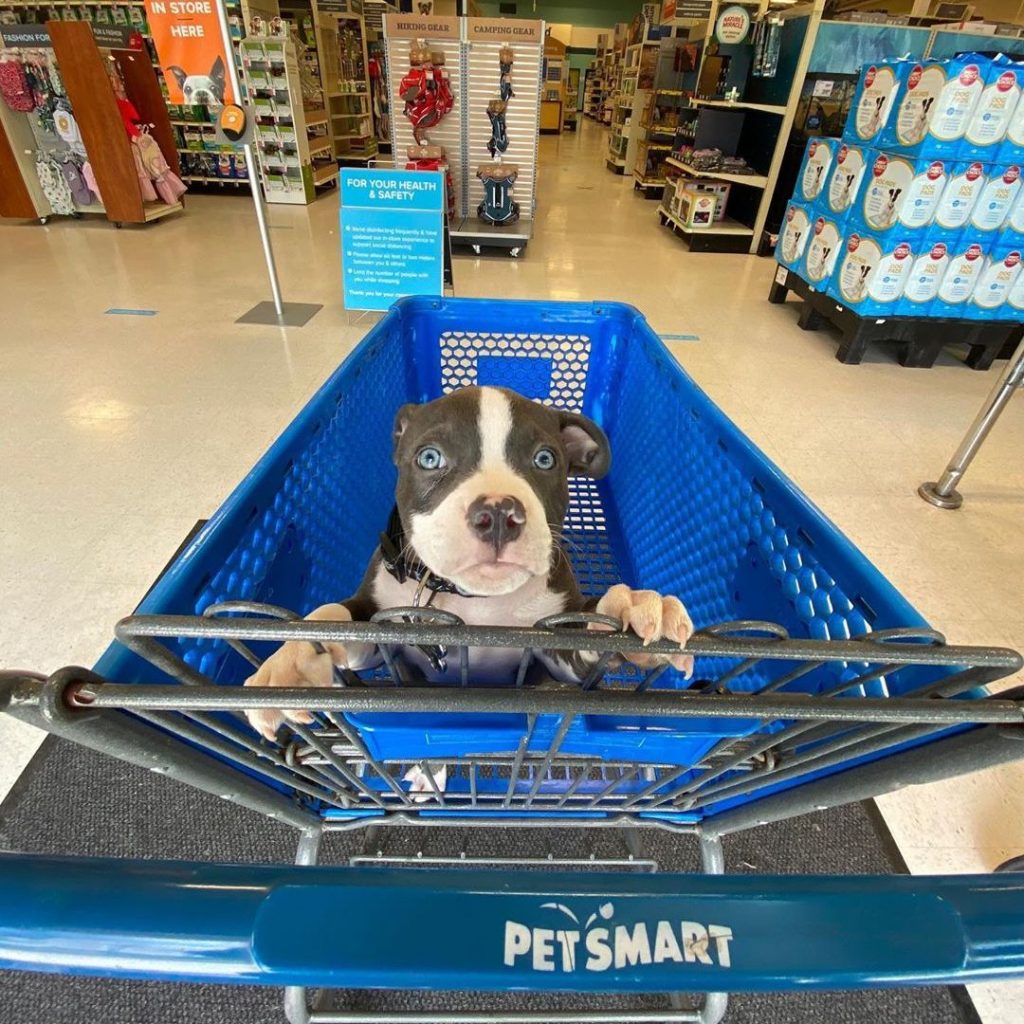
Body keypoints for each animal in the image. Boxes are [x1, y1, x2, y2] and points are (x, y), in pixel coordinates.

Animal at [245, 385, 696, 745]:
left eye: (545, 459)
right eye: (430, 458)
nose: (498, 512)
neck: (475, 601)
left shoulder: (554, 648)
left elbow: (586, 630)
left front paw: (635, 606)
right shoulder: (378, 627)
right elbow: (332, 616)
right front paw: (290, 663)